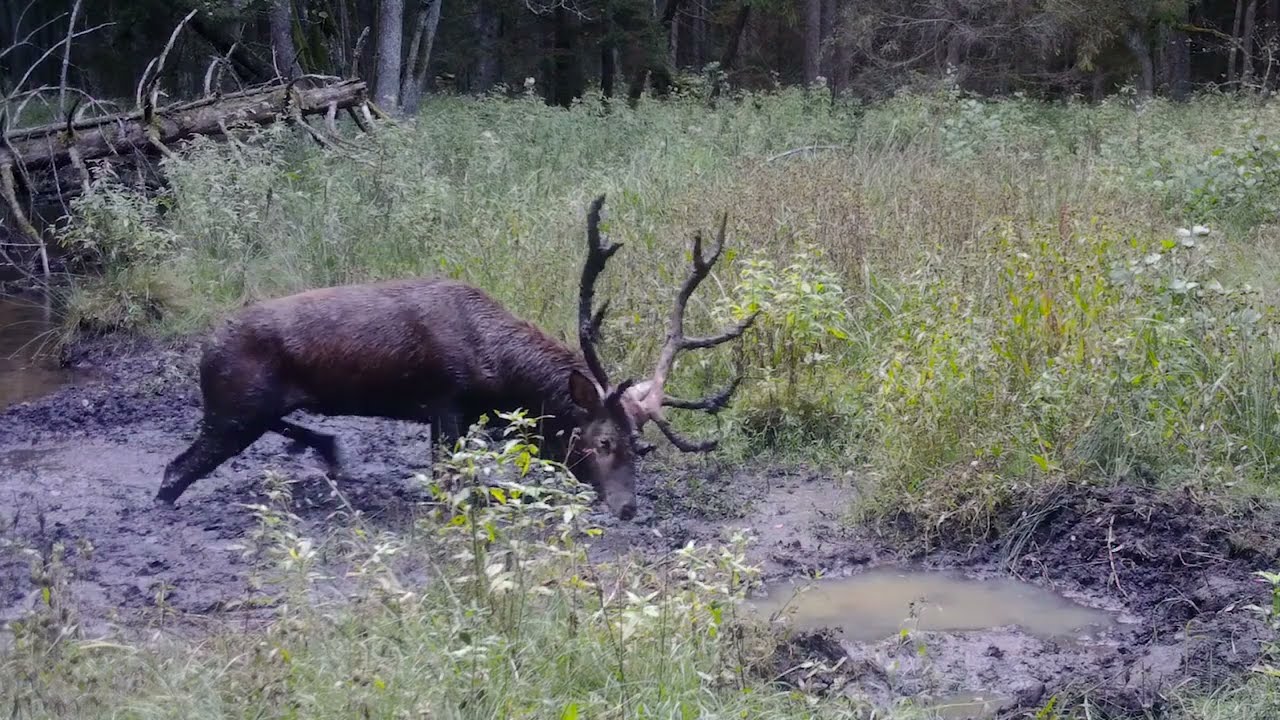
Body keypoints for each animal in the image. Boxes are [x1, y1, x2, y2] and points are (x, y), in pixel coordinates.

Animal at [155, 195, 757, 520]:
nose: (627, 507)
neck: (499, 373)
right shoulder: (446, 407)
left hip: (247, 410)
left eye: (643, 445)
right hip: (232, 409)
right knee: (174, 470)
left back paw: (329, 449)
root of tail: (206, 348)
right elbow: (447, 484)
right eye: (603, 442)